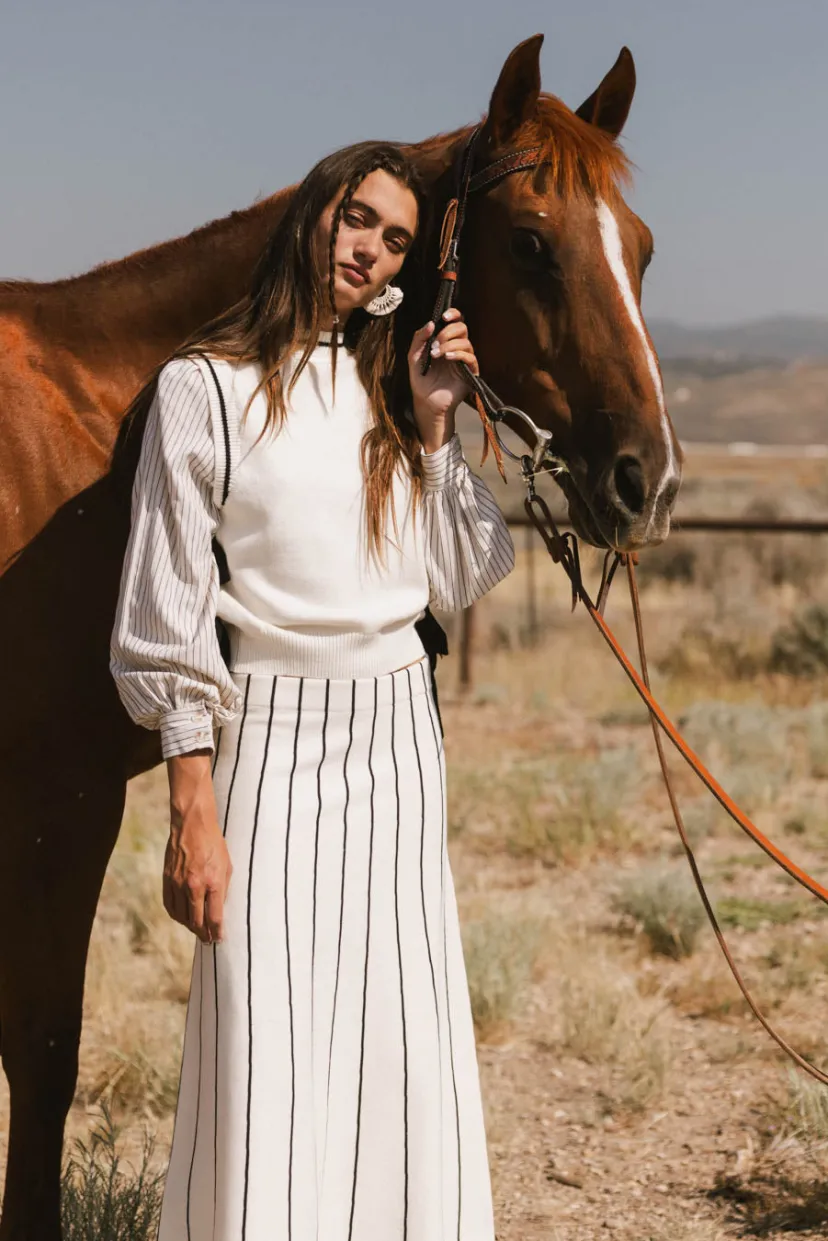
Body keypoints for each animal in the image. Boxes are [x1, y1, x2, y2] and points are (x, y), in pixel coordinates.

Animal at [0, 33, 680, 1236]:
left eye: (639, 250)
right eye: (532, 243)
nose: (648, 480)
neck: (92, 431)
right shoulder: (55, 802)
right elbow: (40, 1056)